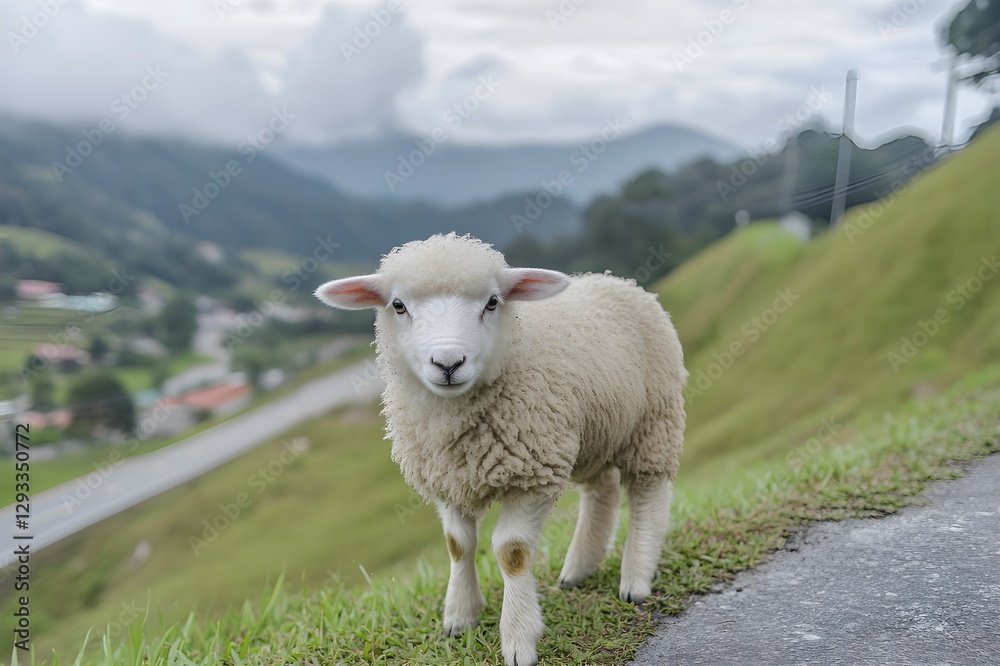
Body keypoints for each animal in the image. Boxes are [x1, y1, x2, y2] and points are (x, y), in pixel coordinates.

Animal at [315, 233, 686, 666]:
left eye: (492, 302)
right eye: (398, 305)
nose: (448, 363)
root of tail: (614, 279)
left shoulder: (534, 475)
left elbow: (512, 552)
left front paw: (519, 638)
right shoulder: (447, 477)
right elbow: (458, 546)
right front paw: (459, 617)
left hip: (653, 420)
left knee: (648, 493)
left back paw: (636, 578)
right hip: (596, 432)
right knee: (602, 491)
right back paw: (578, 569)